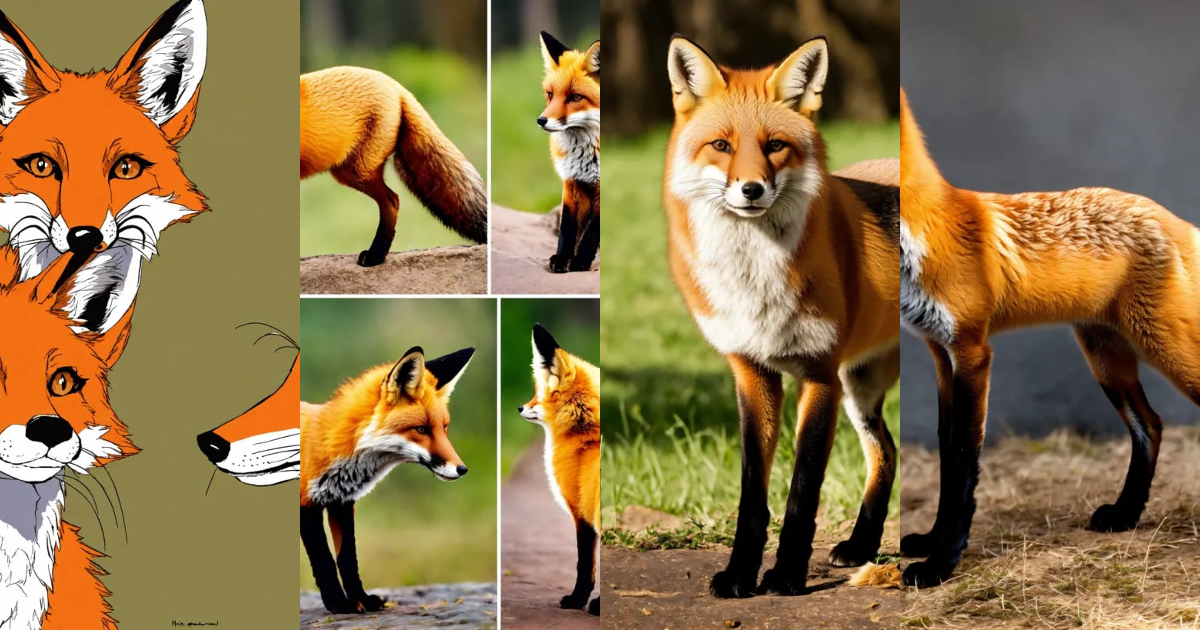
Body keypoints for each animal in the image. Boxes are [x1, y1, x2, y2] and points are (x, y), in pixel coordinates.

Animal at [300, 346, 476, 614]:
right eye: (421, 429)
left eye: (444, 427)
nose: (462, 469)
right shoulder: (306, 506)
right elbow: (325, 560)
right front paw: (339, 603)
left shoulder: (341, 502)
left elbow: (347, 559)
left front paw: (361, 599)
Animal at [537, 32, 600, 274]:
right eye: (550, 95)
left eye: (575, 97)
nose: (541, 121)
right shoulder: (572, 182)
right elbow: (567, 228)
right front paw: (562, 258)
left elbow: (591, 232)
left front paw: (580, 260)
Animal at [664, 35, 901, 599]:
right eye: (721, 146)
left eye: (774, 146)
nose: (751, 189)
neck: (754, 278)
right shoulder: (752, 371)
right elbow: (752, 496)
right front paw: (739, 575)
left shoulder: (818, 375)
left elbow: (802, 491)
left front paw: (789, 574)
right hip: (860, 386)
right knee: (887, 451)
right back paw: (862, 546)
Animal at [898, 87, 1200, 587]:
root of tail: (1167, 215)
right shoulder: (940, 354)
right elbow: (945, 457)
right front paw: (931, 541)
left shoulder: (973, 352)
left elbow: (963, 463)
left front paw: (943, 562)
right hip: (1104, 359)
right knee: (1152, 425)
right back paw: (1125, 514)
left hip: (1164, 347)